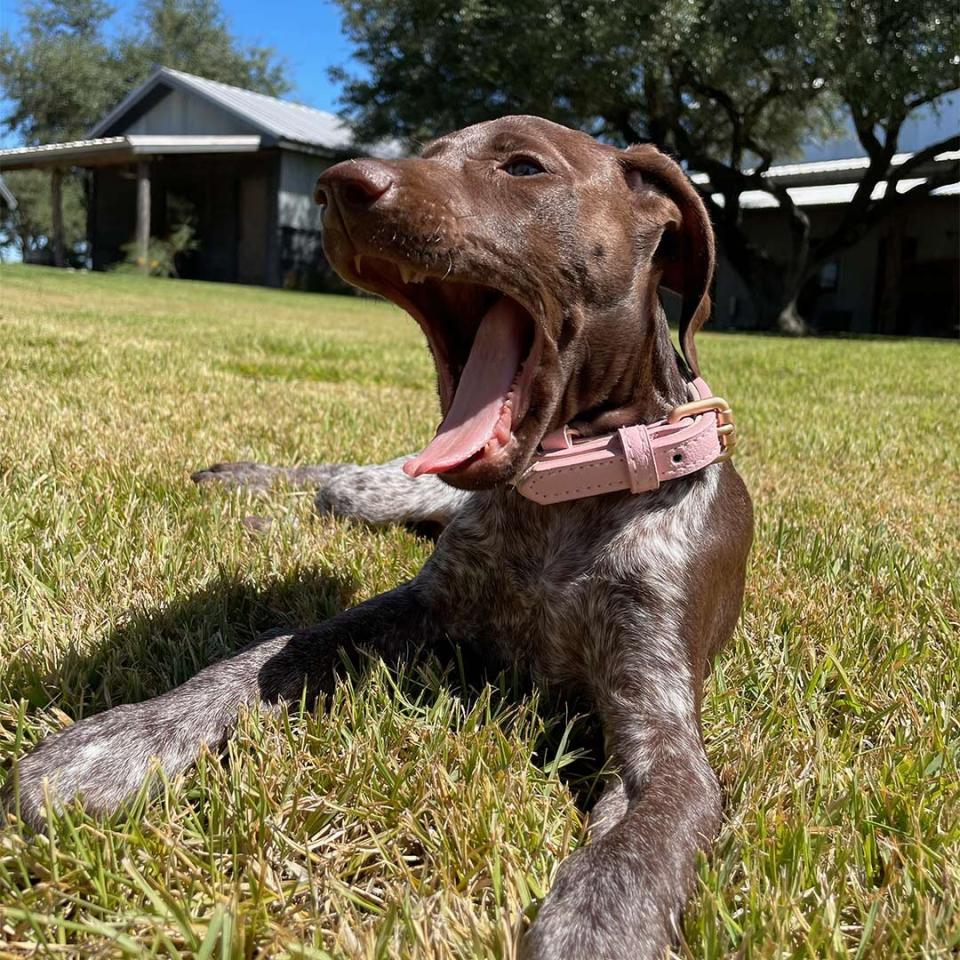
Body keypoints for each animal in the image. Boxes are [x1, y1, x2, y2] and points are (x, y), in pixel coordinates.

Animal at [9, 116, 756, 956]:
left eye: (523, 167)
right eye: (428, 154)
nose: (339, 187)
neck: (570, 493)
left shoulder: (662, 724)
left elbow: (640, 843)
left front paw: (596, 926)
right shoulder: (416, 606)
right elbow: (268, 652)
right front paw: (124, 740)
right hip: (385, 489)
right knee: (334, 481)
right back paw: (241, 485)